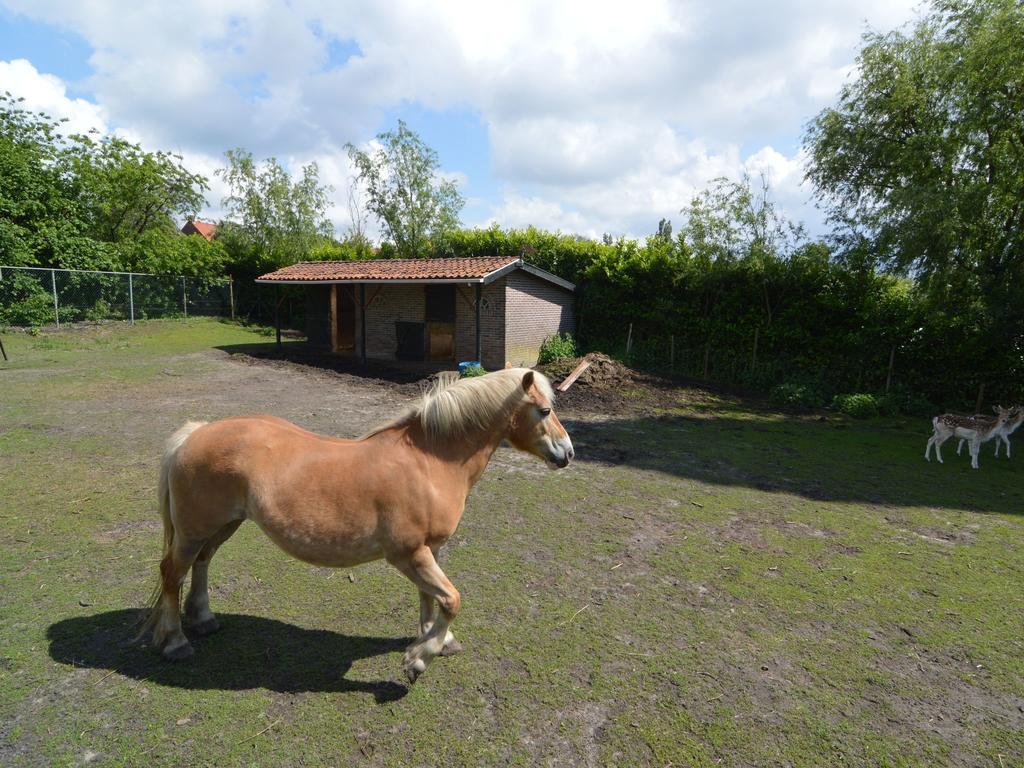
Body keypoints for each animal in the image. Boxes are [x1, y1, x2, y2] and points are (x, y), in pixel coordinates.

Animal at [141, 368, 577, 684]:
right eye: (543, 410)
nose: (568, 453)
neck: (429, 462)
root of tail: (194, 433)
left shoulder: (429, 550)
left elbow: (431, 599)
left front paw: (436, 641)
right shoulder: (409, 554)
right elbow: (451, 599)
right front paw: (418, 659)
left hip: (221, 526)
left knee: (201, 564)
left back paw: (203, 619)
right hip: (194, 530)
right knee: (172, 574)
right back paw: (177, 642)